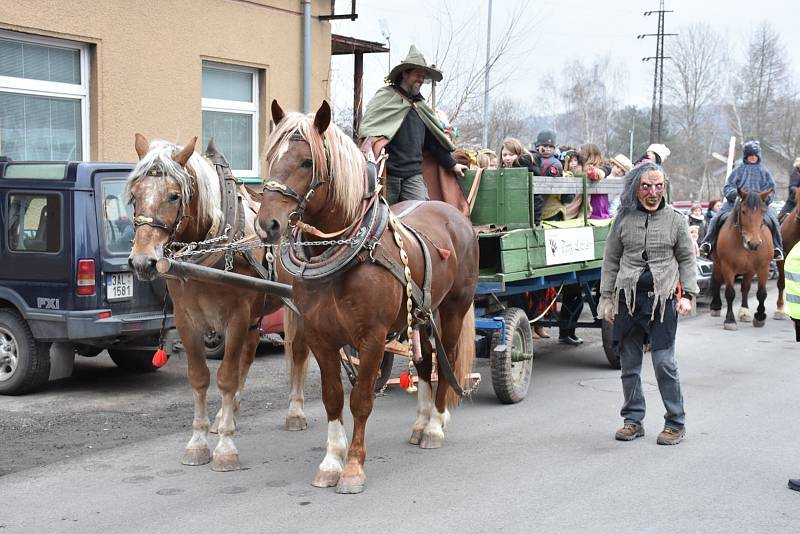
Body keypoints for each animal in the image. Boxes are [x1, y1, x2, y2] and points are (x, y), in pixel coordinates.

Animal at [126, 135, 310, 474]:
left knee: (299, 352)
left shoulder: (235, 318)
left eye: (174, 195)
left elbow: (225, 377)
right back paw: (229, 415)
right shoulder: (187, 320)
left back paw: (295, 412)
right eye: (134, 195)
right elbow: (200, 377)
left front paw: (225, 449)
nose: (143, 261)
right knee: (249, 358)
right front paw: (199, 442)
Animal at [256, 102, 478, 496]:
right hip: (420, 315)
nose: (268, 224)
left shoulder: (372, 338)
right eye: (271, 156)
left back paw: (435, 425)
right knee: (425, 363)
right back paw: (420, 424)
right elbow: (332, 396)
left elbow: (361, 399)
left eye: (306, 162)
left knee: (447, 358)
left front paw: (353, 467)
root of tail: (454, 214)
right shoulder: (320, 336)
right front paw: (331, 462)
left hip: (454, 307)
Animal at [712, 188, 776, 330]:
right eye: (743, 211)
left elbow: (761, 293)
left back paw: (744, 311)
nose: (754, 243)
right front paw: (730, 320)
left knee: (745, 287)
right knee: (716, 282)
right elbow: (730, 293)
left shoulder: (763, 267)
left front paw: (759, 317)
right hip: (718, 265)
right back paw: (715, 306)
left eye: (763, 211)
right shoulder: (727, 267)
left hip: (749, 270)